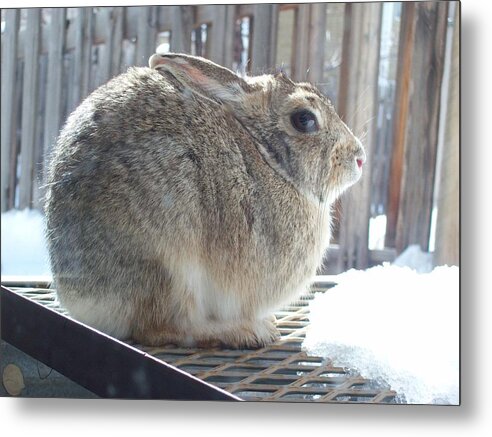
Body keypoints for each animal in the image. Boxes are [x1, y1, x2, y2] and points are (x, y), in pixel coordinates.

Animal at [43, 53, 366, 348]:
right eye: (305, 119)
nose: (360, 157)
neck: (268, 157)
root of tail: (77, 295)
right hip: (170, 261)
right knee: (161, 327)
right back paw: (246, 332)